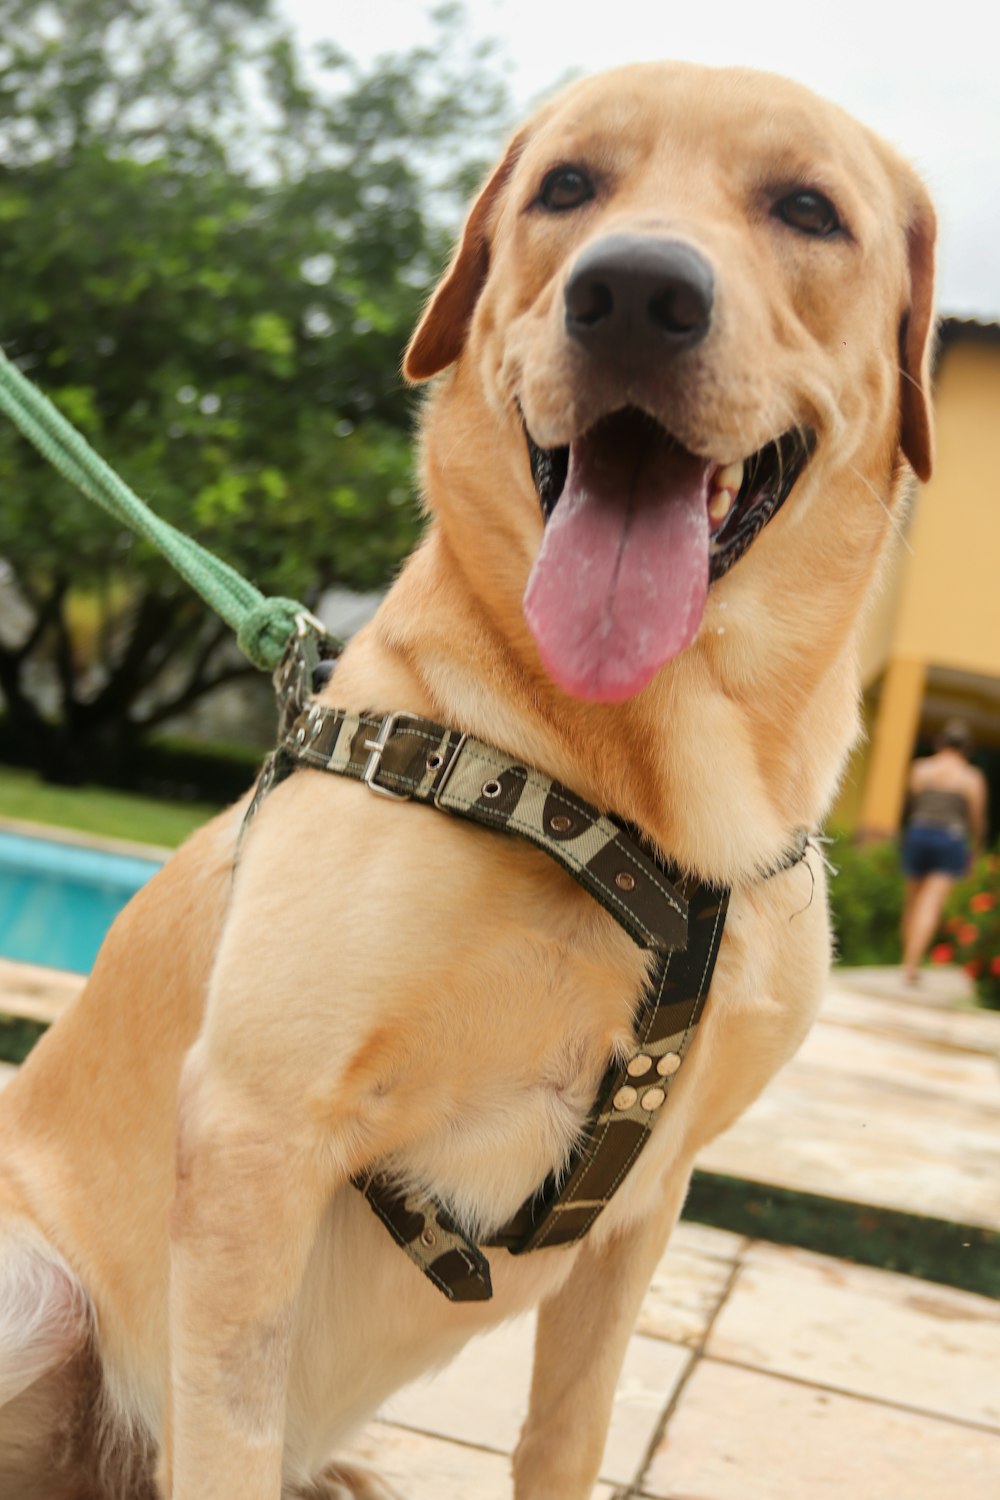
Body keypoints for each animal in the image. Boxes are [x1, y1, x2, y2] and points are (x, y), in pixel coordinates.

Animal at [0, 64, 929, 1500]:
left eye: (809, 208)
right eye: (567, 186)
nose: (634, 294)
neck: (638, 804)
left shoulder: (645, 1209)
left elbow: (565, 1436)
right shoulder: (254, 1134)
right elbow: (229, 1435)